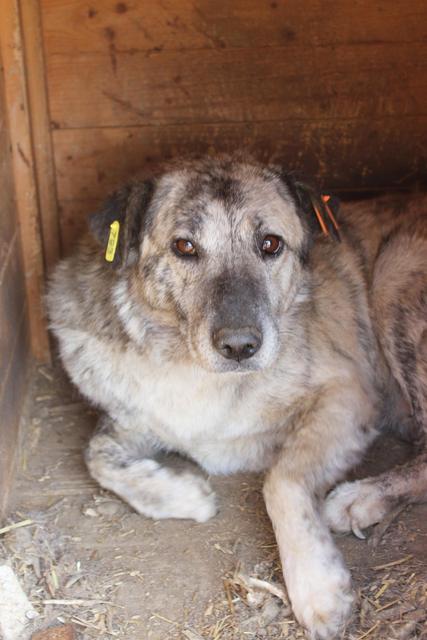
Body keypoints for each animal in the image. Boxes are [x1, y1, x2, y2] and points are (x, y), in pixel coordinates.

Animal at [45, 156, 426, 640]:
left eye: (270, 244)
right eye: (184, 246)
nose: (240, 346)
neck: (196, 373)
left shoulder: (348, 394)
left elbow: (280, 481)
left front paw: (317, 587)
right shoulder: (133, 417)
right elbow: (95, 456)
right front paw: (184, 496)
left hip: (395, 274)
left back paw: (362, 496)